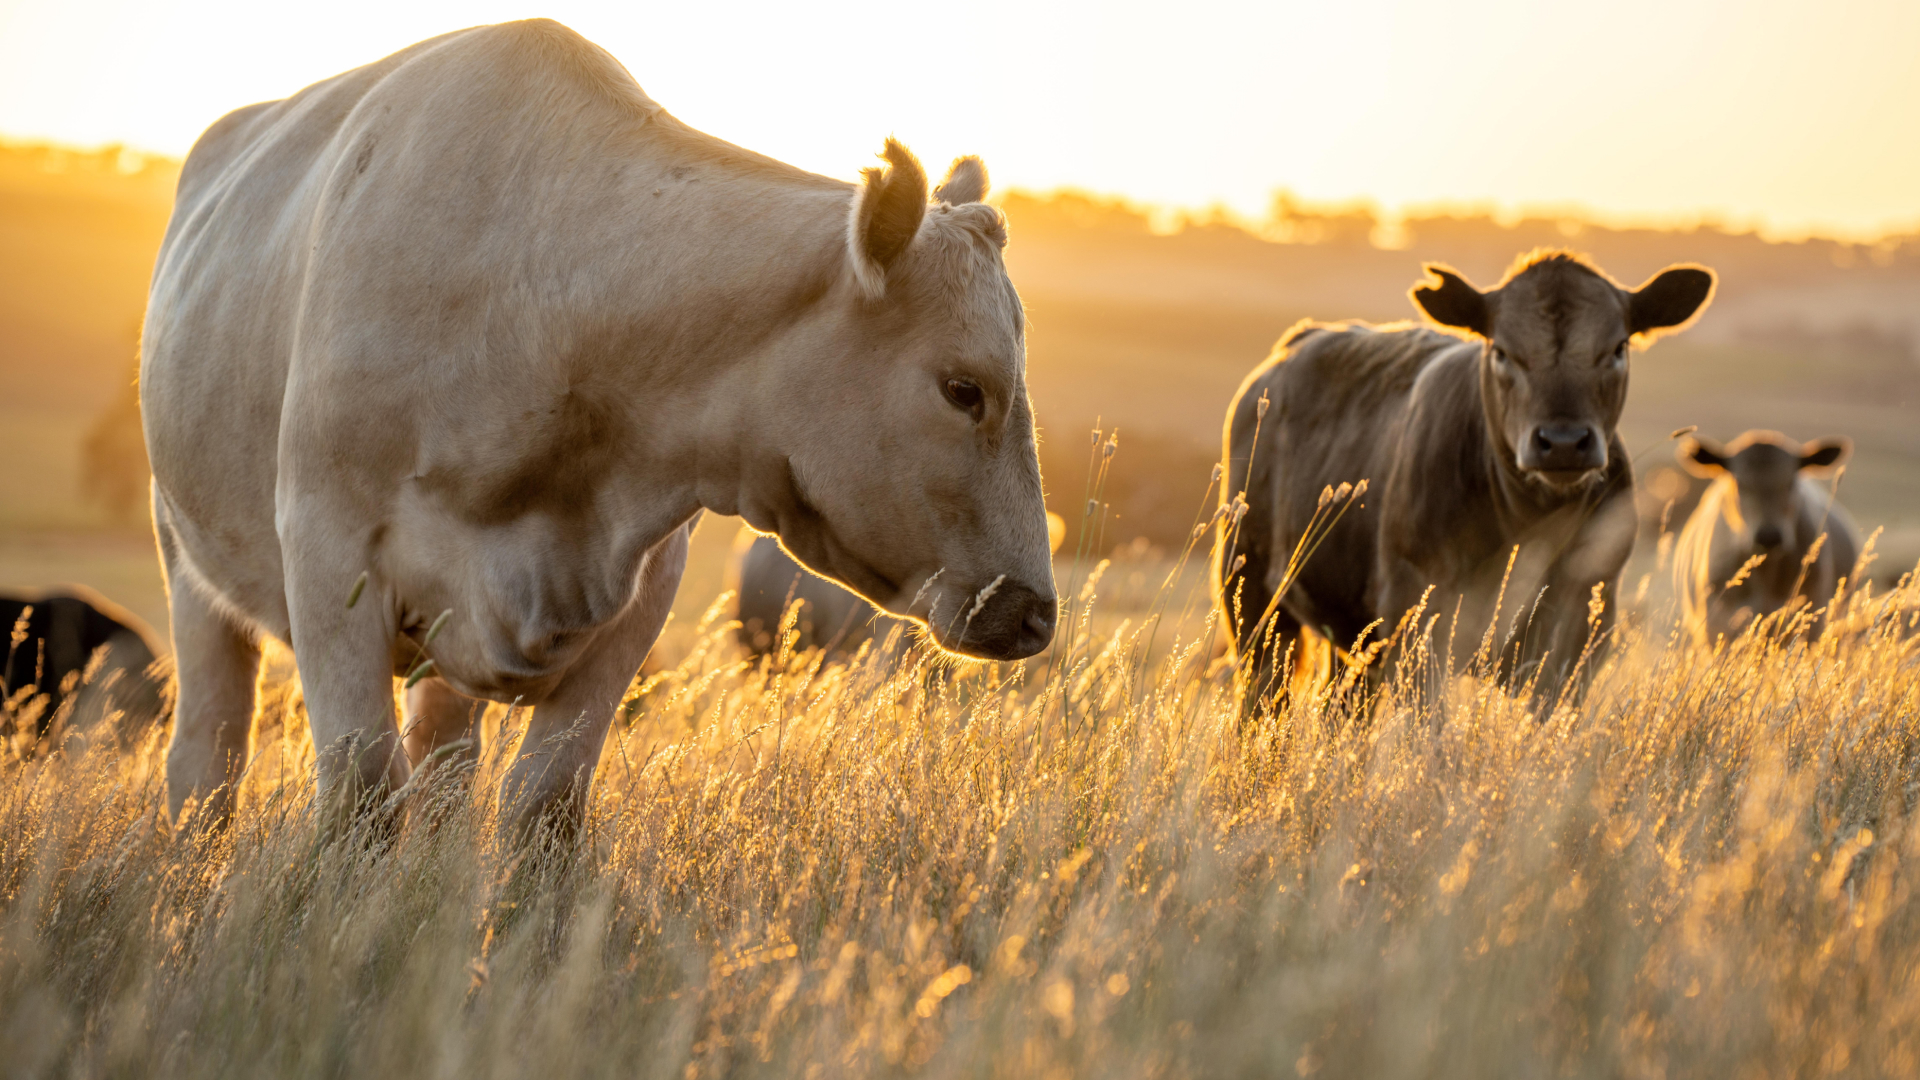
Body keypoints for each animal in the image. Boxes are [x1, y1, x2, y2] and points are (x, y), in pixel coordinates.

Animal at [142, 21, 1059, 837]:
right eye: (963, 389)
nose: (1033, 612)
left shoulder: (639, 591)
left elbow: (544, 805)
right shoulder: (329, 553)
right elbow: (362, 793)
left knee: (443, 766)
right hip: (187, 562)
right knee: (208, 759)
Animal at [1221, 247, 1720, 711]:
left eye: (1617, 349)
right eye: (1501, 351)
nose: (1562, 441)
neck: (1529, 526)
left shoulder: (1579, 635)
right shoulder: (1418, 620)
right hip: (1251, 596)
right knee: (1263, 701)